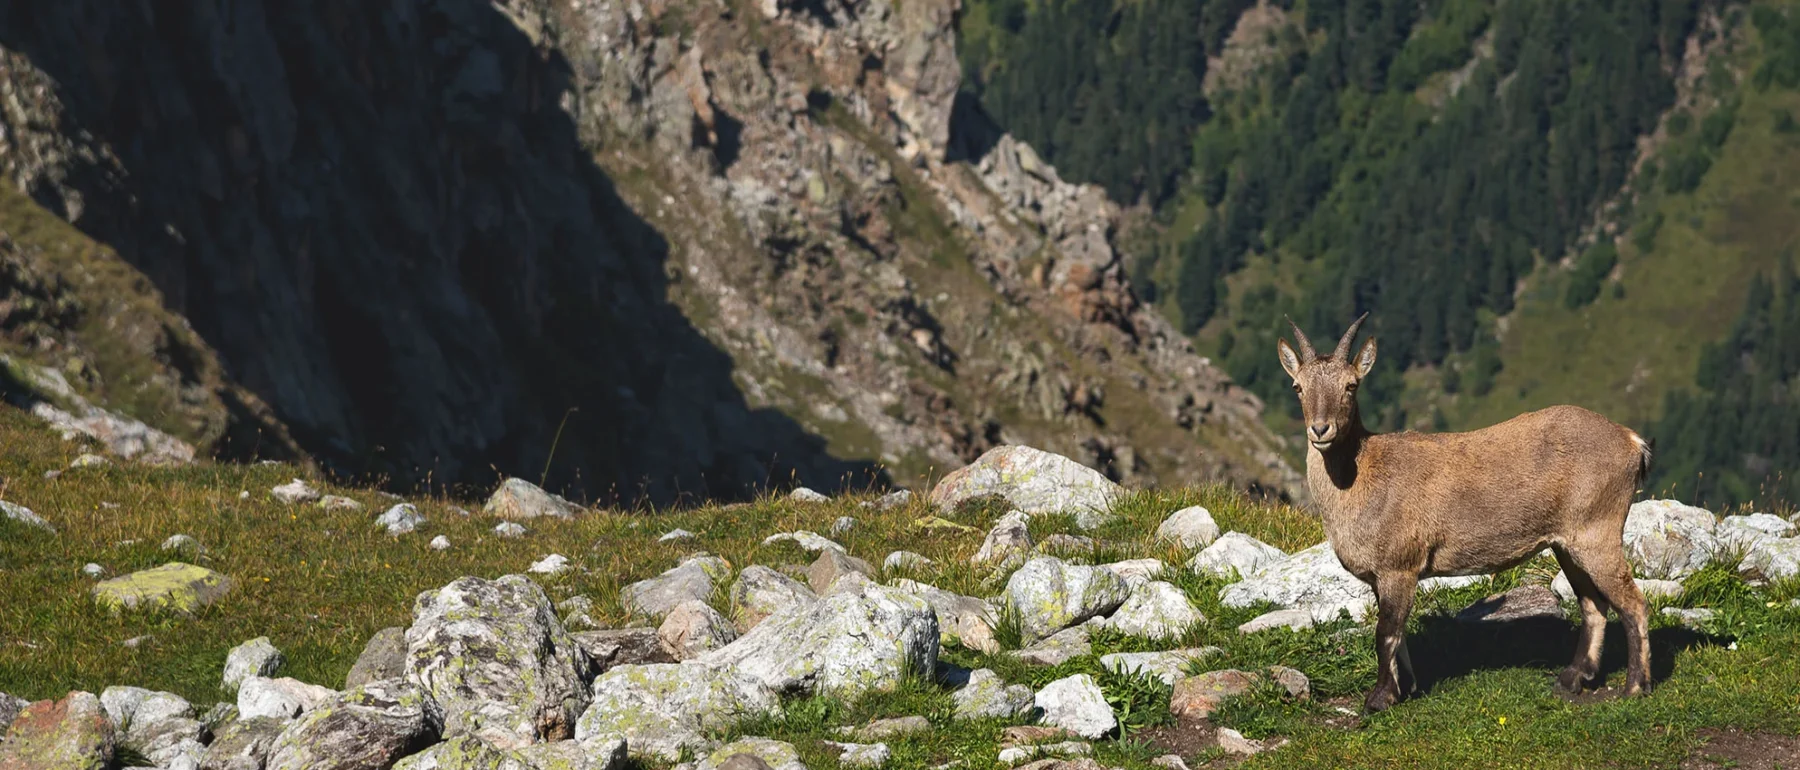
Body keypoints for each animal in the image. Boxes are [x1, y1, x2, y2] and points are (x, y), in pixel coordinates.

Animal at [1277, 314, 1653, 712]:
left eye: (1351, 385)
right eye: (1297, 387)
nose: (1321, 429)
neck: (1361, 474)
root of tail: (1632, 442)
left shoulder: (1398, 566)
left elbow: (1386, 633)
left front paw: (1380, 698)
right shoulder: (1385, 577)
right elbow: (1399, 633)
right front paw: (1407, 687)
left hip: (1597, 532)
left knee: (1633, 603)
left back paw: (1635, 686)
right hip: (1567, 544)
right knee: (1593, 604)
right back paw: (1572, 678)